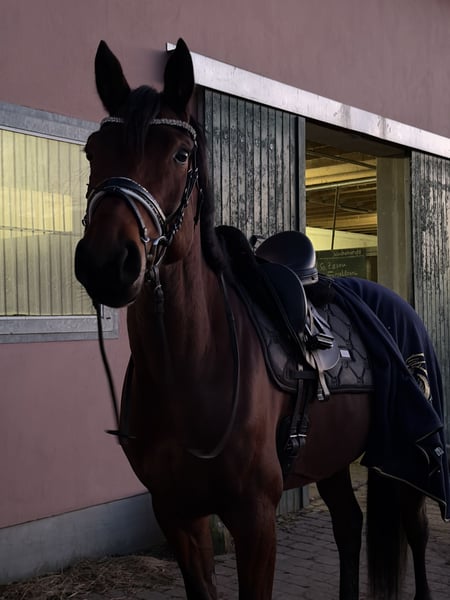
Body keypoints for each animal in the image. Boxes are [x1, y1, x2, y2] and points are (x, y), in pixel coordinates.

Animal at [74, 38, 446, 600]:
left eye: (182, 155)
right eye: (93, 150)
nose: (106, 262)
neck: (191, 367)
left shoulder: (254, 519)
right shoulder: (177, 515)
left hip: (409, 456)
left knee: (416, 533)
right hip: (333, 456)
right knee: (348, 524)